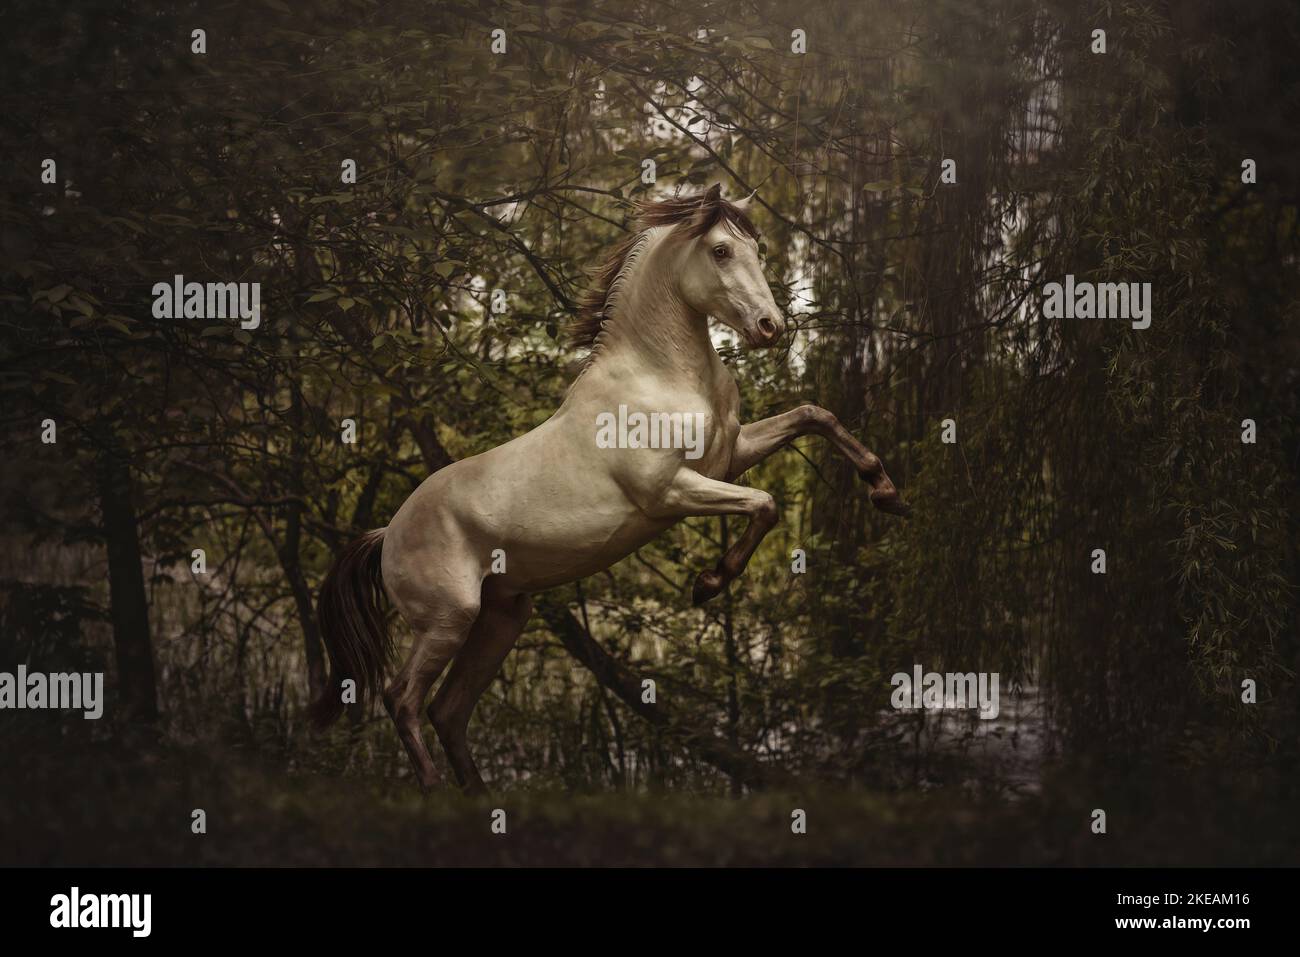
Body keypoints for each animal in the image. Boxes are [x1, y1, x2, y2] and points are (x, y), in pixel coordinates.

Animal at [310, 185, 909, 793]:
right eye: (720, 250)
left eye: (758, 249)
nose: (770, 327)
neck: (664, 376)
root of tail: (386, 533)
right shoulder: (670, 492)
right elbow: (765, 504)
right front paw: (708, 583)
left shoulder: (730, 455)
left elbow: (815, 416)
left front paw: (886, 491)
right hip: (448, 619)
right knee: (403, 699)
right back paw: (434, 792)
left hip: (501, 618)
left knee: (448, 711)